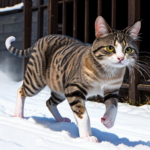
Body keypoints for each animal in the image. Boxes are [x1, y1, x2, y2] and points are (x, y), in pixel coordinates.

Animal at [4, 16, 141, 143]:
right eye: (110, 48)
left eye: (128, 49)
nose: (121, 58)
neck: (107, 73)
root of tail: (41, 39)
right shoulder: (74, 88)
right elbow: (83, 114)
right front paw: (87, 137)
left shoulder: (112, 90)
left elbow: (113, 106)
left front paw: (108, 120)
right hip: (36, 80)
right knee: (21, 90)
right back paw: (18, 115)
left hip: (60, 87)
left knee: (49, 102)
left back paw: (61, 120)